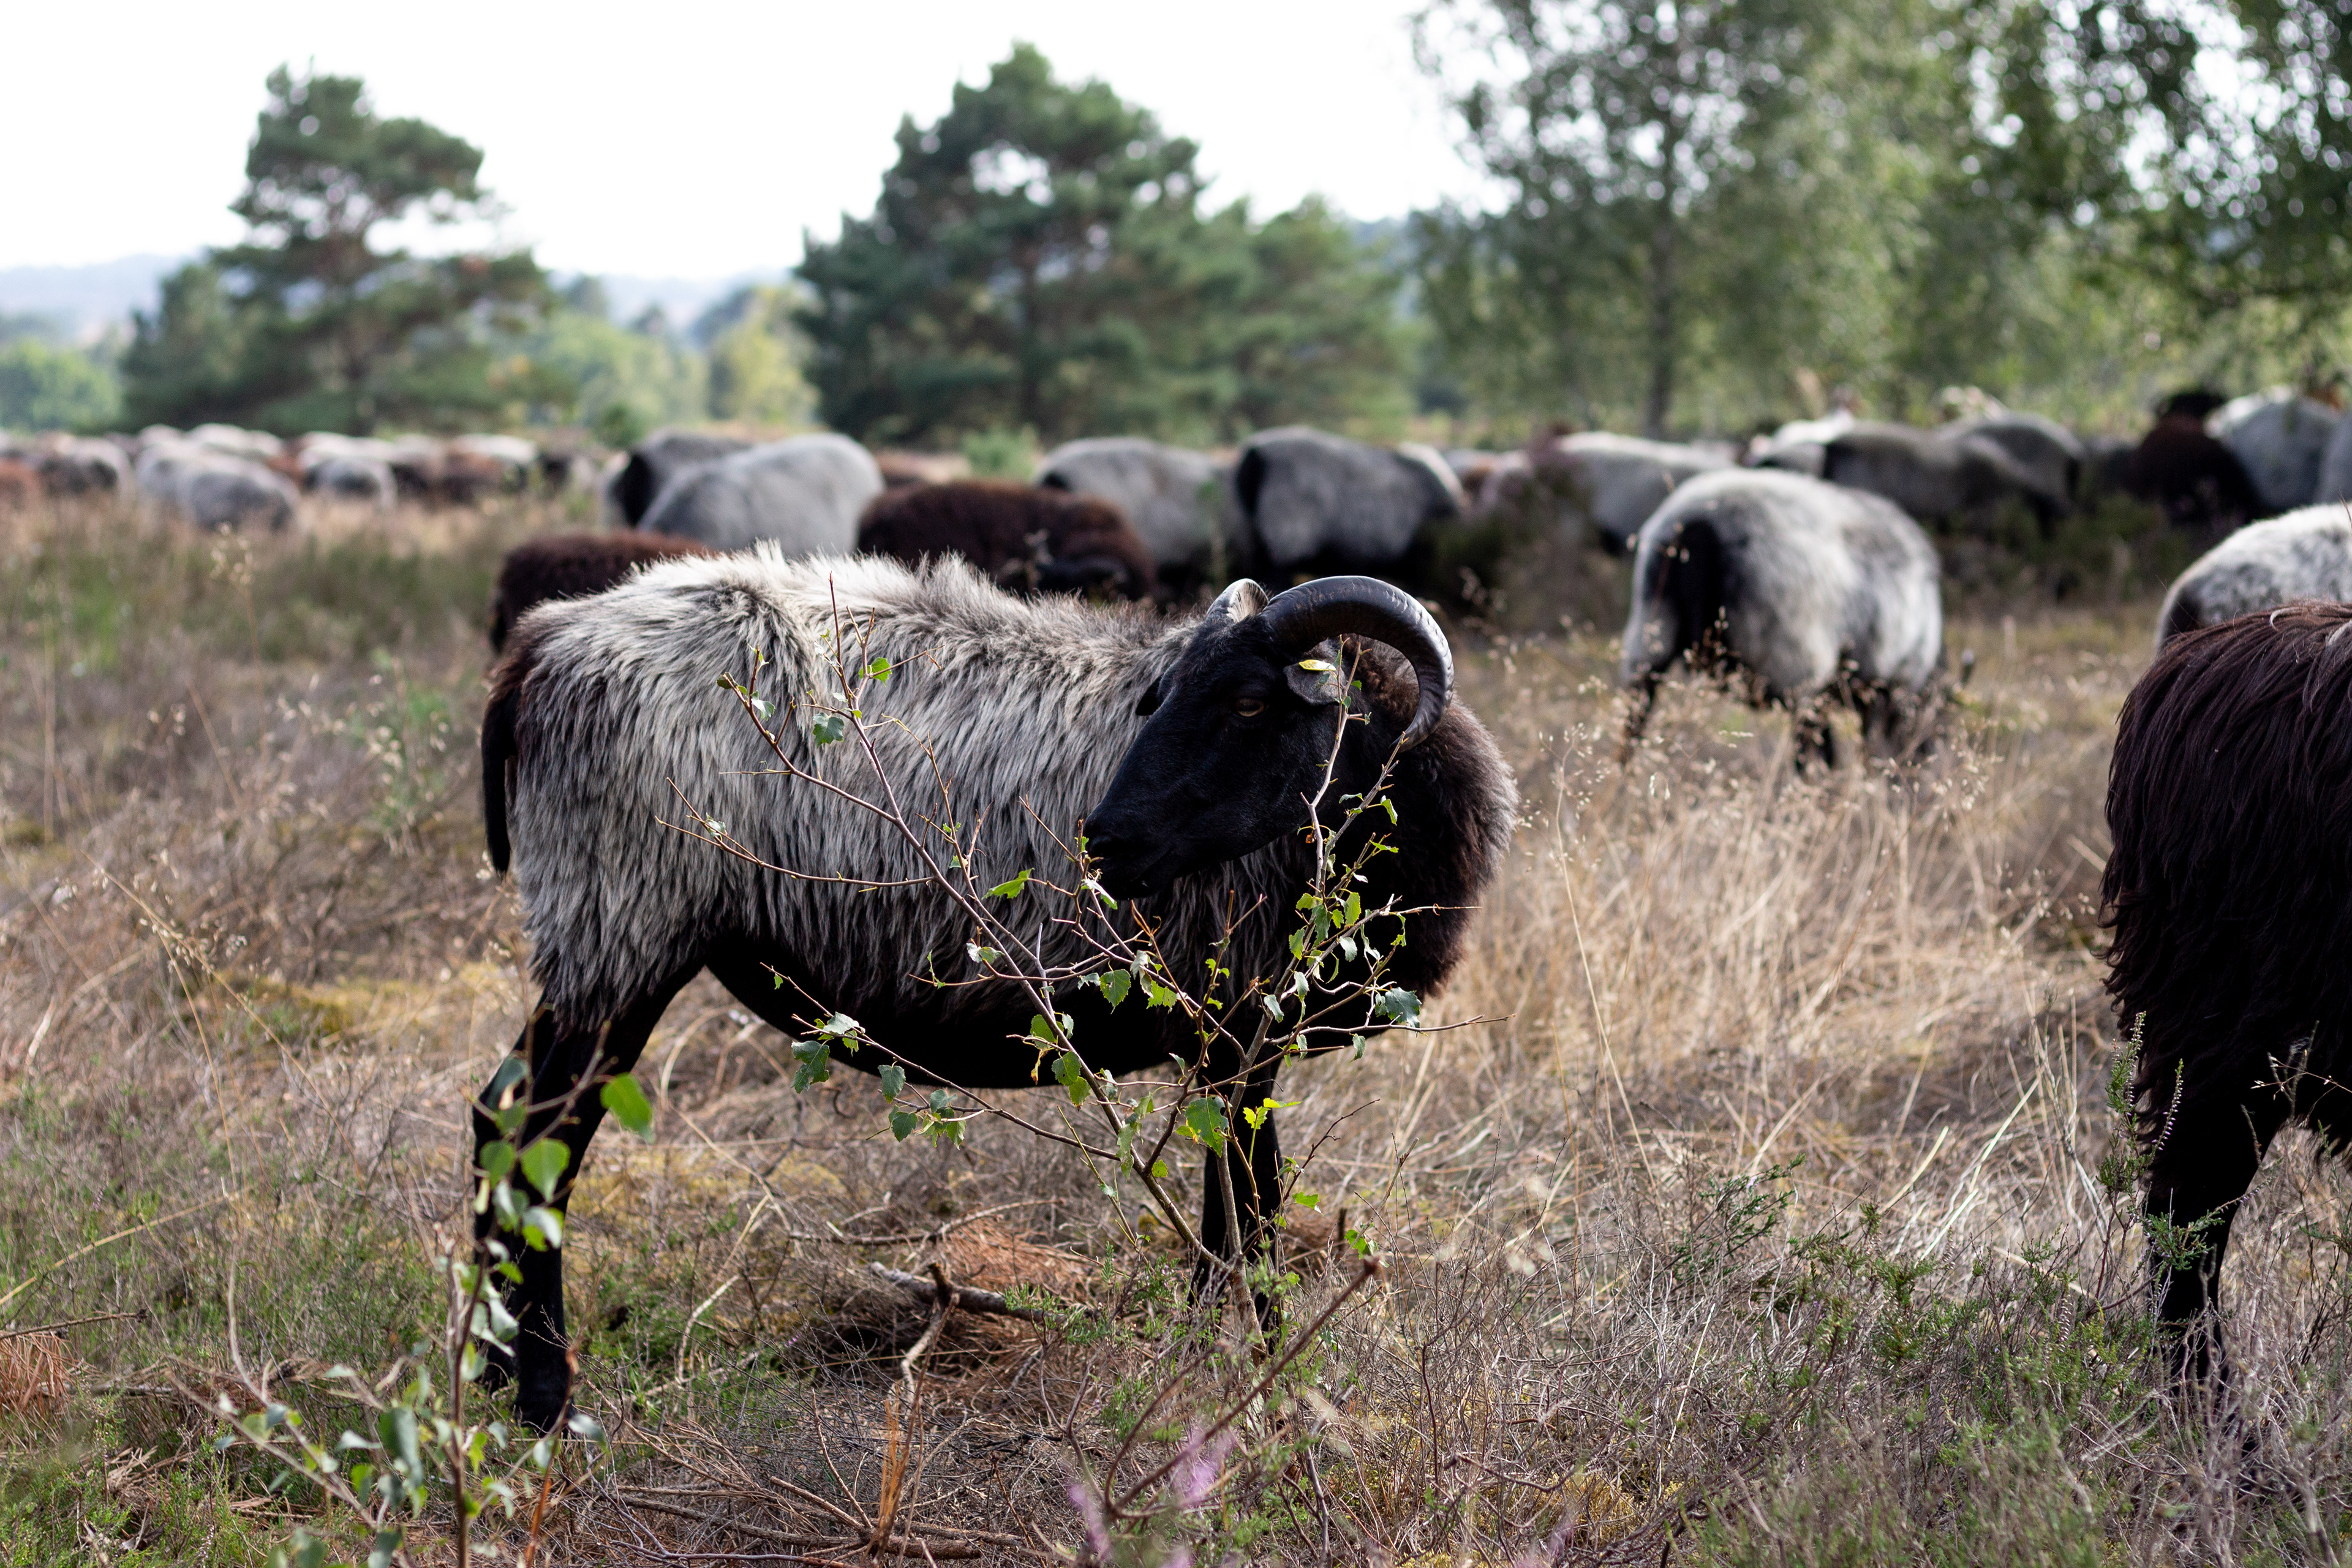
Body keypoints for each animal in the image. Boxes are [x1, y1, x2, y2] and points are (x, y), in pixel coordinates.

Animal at [474, 554, 1515, 1428]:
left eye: (1253, 704)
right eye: (1163, 696)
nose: (1105, 840)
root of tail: (543, 644)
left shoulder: (1232, 1054)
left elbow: (1227, 1231)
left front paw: (1202, 1375)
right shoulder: (1238, 1039)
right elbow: (1248, 1227)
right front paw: (1262, 1390)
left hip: (595, 942)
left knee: (496, 1118)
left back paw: (489, 1377)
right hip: (621, 926)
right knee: (540, 1143)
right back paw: (545, 1398)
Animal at [1620, 468, 1944, 767]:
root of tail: (1701, 527)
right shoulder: (1892, 685)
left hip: (1651, 632)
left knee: (1633, 721)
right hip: (1798, 664)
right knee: (1812, 754)